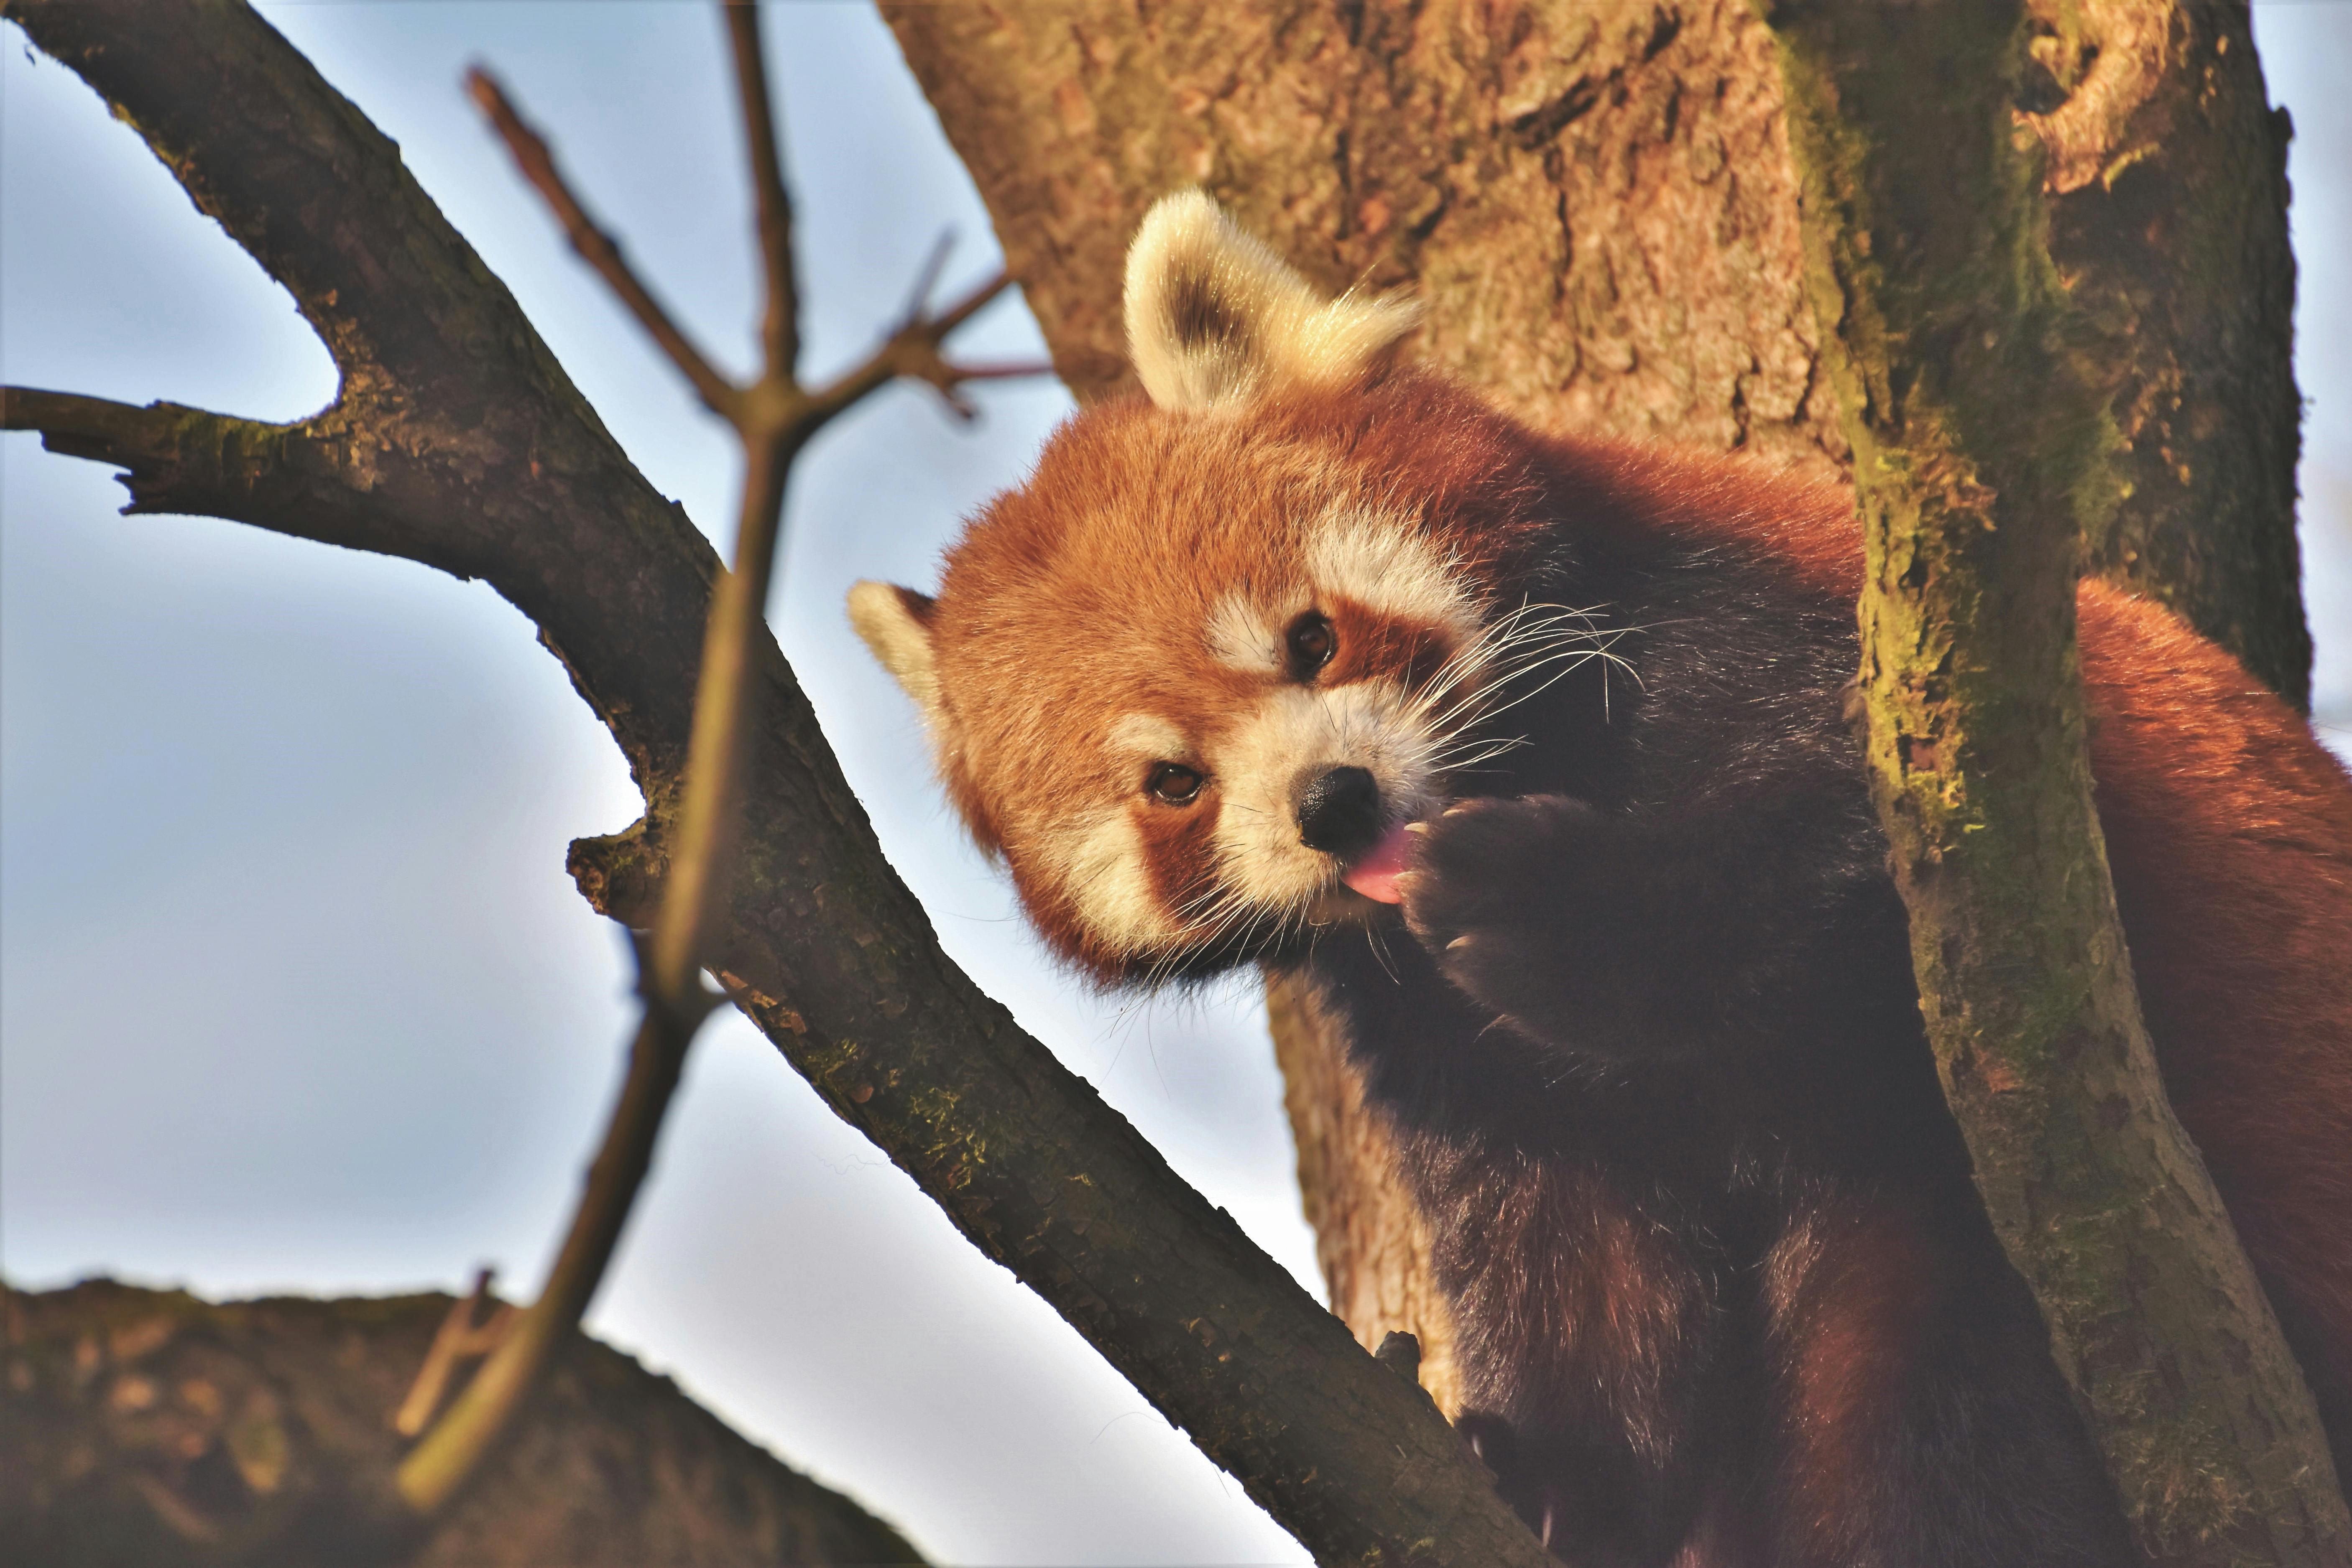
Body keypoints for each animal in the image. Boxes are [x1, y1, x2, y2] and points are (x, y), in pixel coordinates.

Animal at [847, 196, 2352, 1568]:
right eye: (1174, 783)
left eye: (1311, 638)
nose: (1334, 803)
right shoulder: (1441, 1043)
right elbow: (1573, 1244)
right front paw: (1549, 1476)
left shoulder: (1833, 676)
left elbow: (1815, 869)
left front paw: (1542, 907)